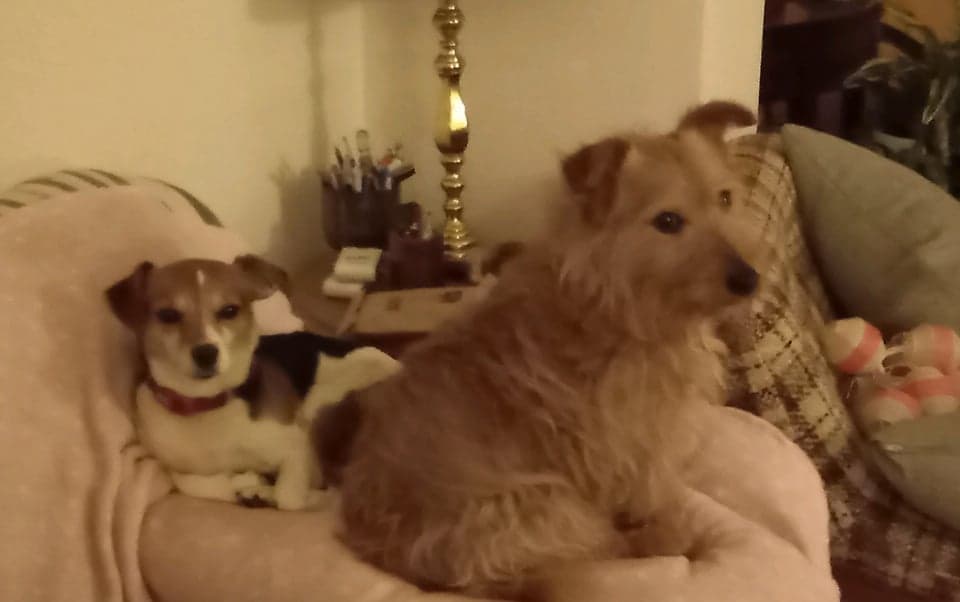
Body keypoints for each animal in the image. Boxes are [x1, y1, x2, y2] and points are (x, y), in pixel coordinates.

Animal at [106, 254, 399, 510]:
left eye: (229, 310)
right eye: (168, 315)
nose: (206, 353)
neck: (206, 403)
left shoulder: (297, 446)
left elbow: (291, 498)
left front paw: (269, 490)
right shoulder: (173, 465)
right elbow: (192, 482)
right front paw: (247, 482)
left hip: (326, 398)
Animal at [314, 100, 762, 599]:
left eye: (725, 198)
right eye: (668, 222)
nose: (749, 278)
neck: (613, 306)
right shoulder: (627, 448)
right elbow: (644, 497)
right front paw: (662, 527)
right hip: (548, 505)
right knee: (600, 545)